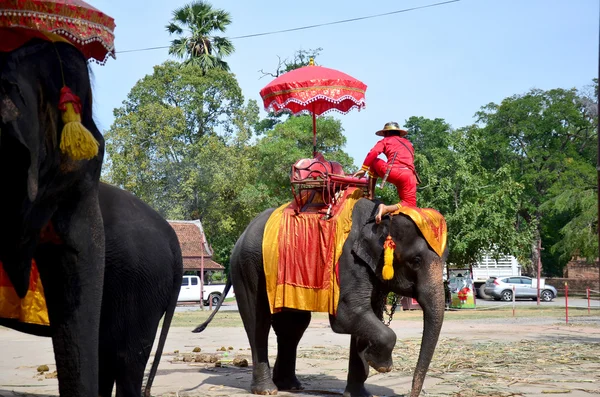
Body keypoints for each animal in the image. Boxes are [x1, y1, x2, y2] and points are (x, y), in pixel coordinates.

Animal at [195, 198, 448, 396]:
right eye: (416, 261)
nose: (412, 394)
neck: (381, 216)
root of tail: (240, 237)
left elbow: (367, 315)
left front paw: (361, 388)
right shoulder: (348, 262)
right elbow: (347, 315)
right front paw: (380, 364)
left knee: (293, 326)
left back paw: (290, 386)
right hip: (248, 267)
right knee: (258, 322)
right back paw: (267, 390)